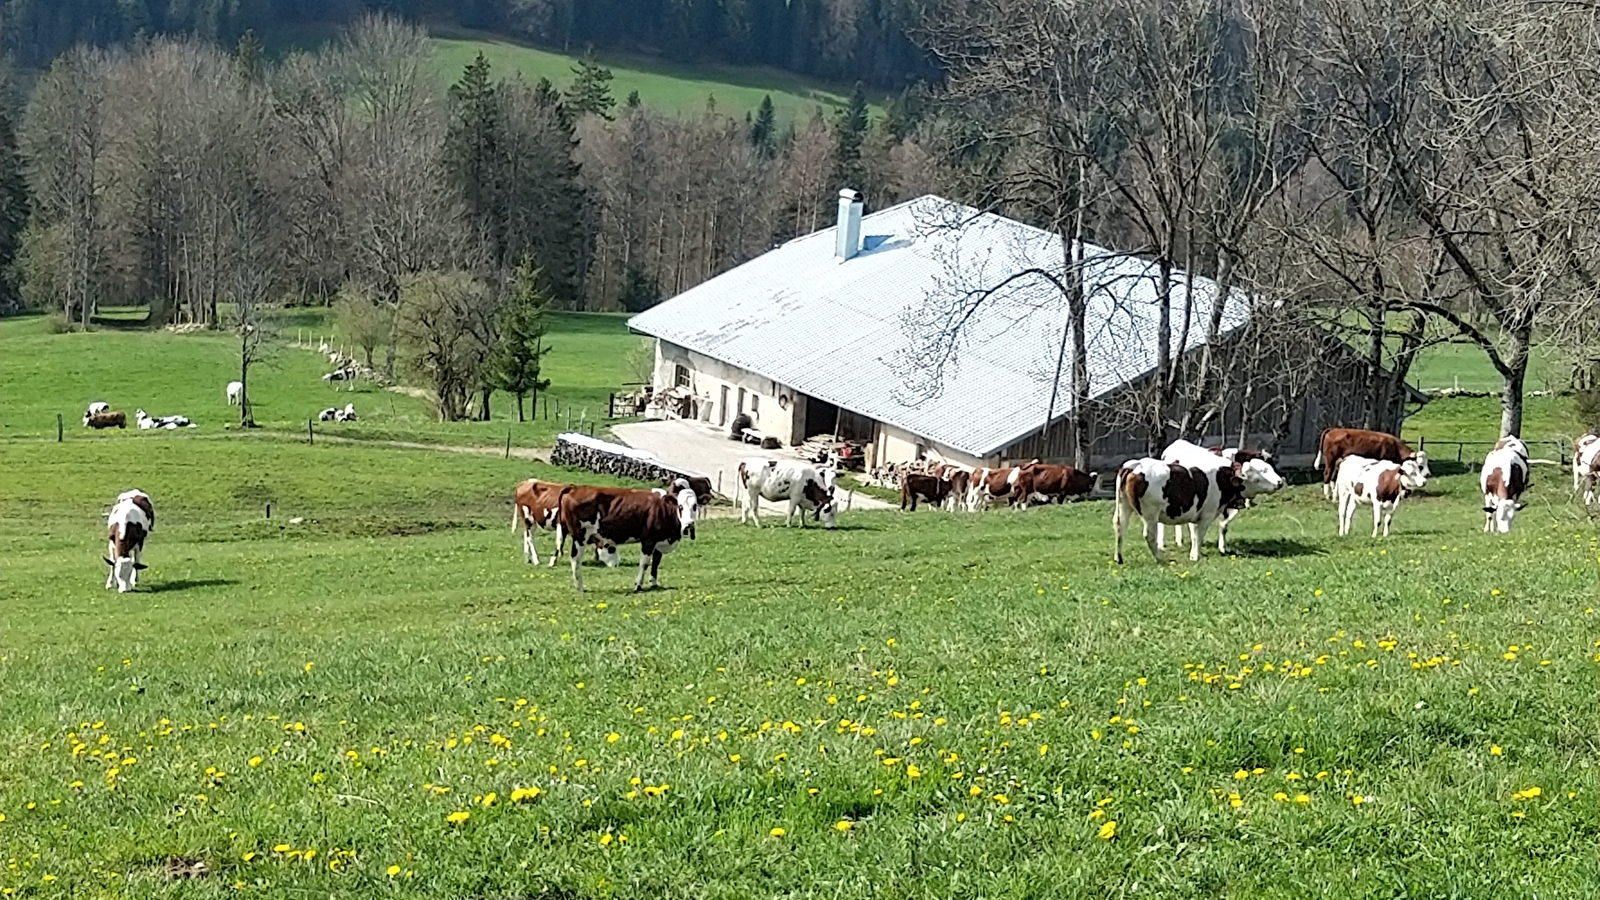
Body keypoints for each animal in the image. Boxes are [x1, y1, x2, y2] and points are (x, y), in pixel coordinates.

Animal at [556, 483, 694, 589]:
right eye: (680, 506)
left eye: (695, 506)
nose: (689, 524)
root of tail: (573, 488)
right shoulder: (648, 540)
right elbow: (644, 563)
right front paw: (638, 586)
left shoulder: (658, 541)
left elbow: (656, 562)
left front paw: (653, 583)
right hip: (579, 537)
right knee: (575, 559)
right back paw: (580, 587)